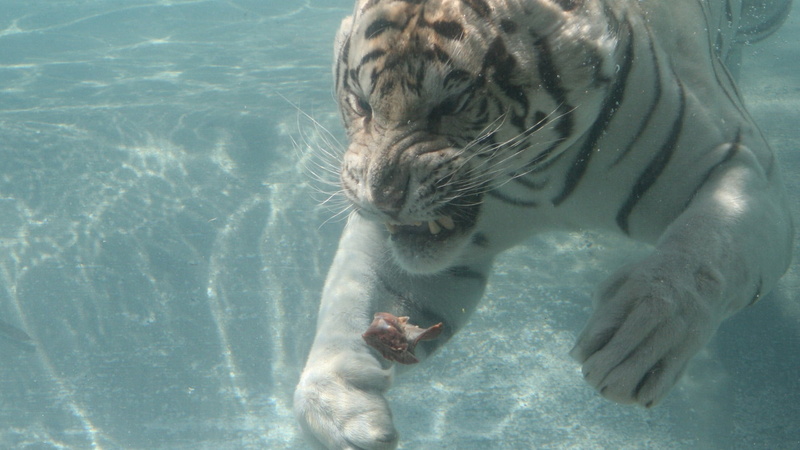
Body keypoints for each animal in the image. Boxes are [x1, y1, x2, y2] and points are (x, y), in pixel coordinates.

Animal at [294, 0, 794, 448]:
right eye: (362, 103)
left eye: (452, 103)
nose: (383, 200)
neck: (539, 176)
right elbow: (354, 293)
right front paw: (339, 405)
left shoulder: (741, 167)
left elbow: (705, 251)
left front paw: (641, 337)